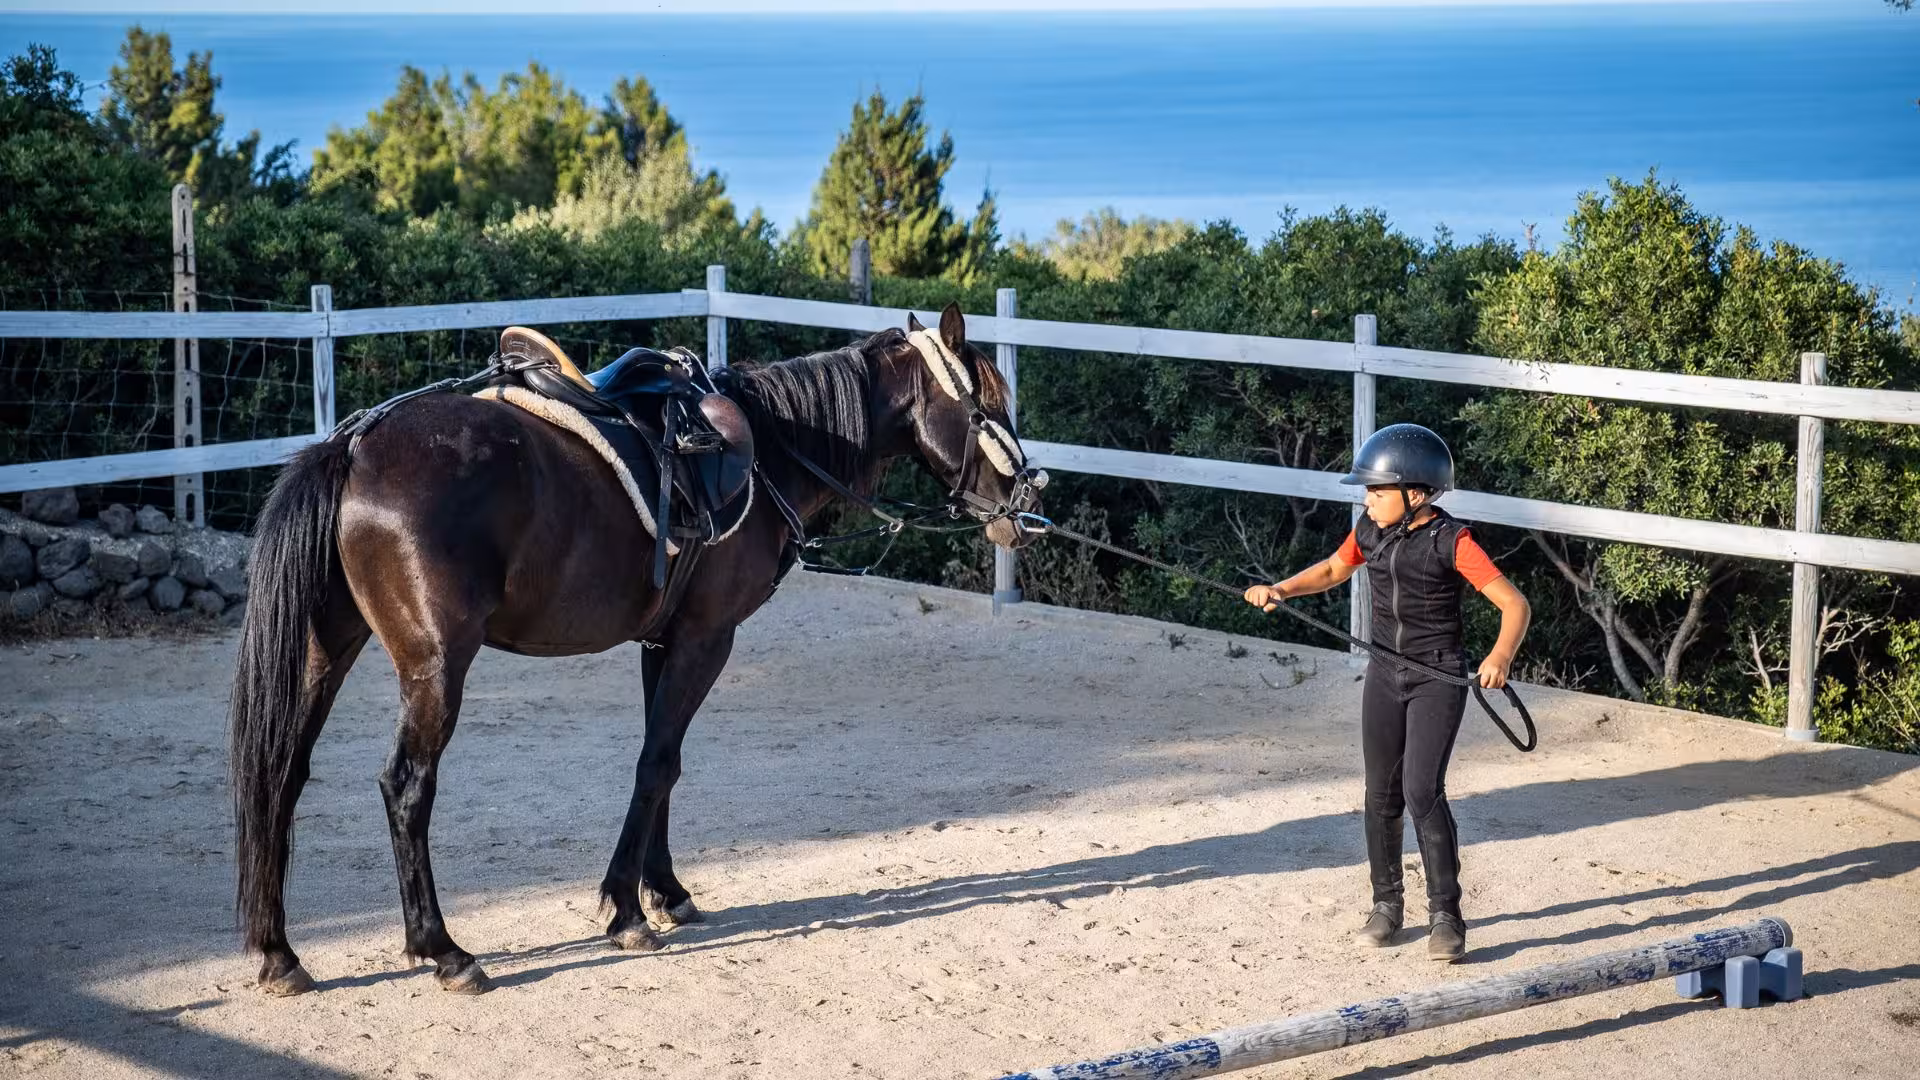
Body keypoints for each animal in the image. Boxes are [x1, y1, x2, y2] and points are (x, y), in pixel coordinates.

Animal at [228, 303, 1043, 996]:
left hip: (328, 649)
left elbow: (665, 764)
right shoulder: (708, 638)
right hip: (436, 669)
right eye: (984, 408)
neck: (768, 450)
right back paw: (444, 951)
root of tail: (353, 446)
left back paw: (279, 953)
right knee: (405, 787)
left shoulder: (667, 642)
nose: (1028, 497)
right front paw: (625, 910)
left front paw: (666, 891)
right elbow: (656, 765)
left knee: (282, 771)